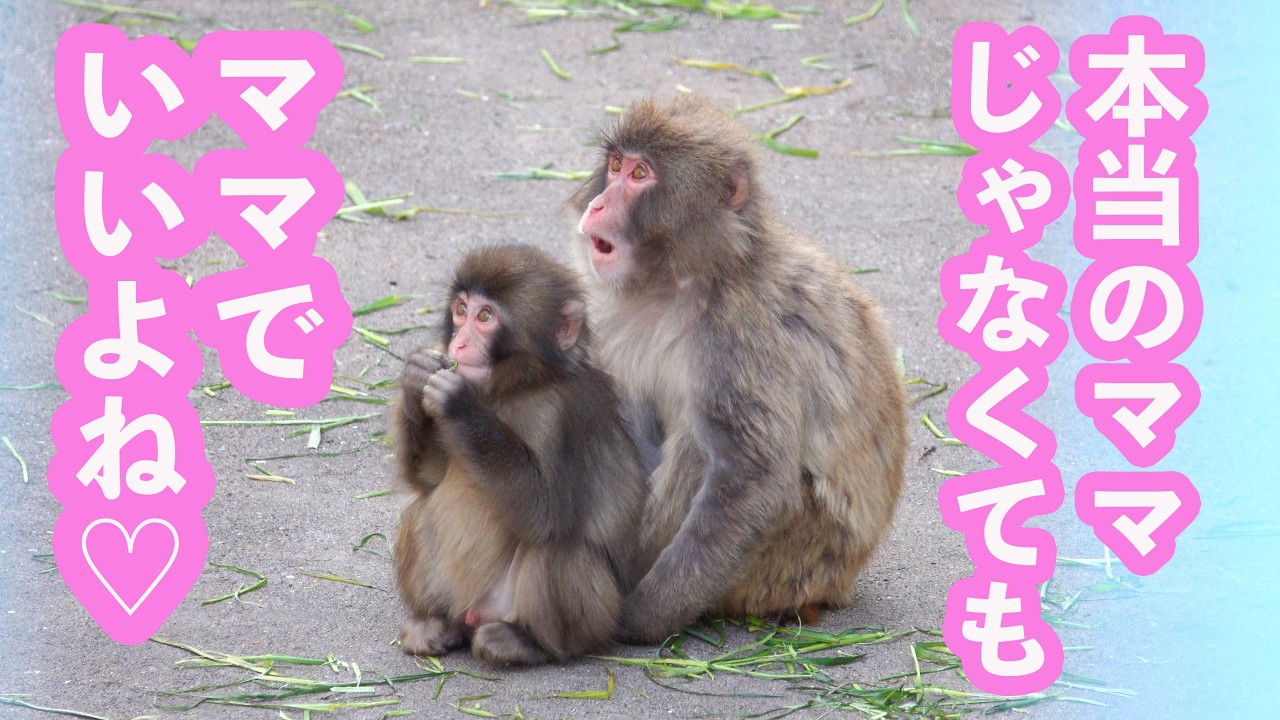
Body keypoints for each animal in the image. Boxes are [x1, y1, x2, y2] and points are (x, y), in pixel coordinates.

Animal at [389, 245, 646, 665]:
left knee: (557, 548)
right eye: (461, 309)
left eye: (485, 317)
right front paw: (417, 374)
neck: (512, 389)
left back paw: (528, 643)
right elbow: (428, 478)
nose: (458, 345)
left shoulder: (564, 416)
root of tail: (474, 614)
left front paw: (458, 403)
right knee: (420, 509)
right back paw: (436, 623)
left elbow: (543, 513)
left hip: (592, 617)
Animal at [567, 96, 909, 643]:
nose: (597, 205)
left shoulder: (738, 335)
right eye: (616, 166)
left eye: (641, 175)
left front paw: (640, 616)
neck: (689, 280)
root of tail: (841, 586)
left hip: (791, 562)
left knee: (700, 448)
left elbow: (756, 481)